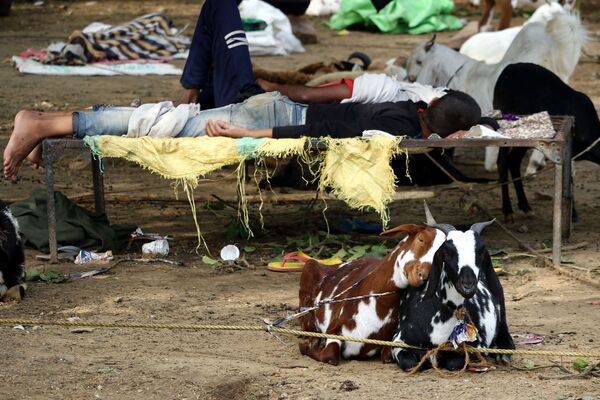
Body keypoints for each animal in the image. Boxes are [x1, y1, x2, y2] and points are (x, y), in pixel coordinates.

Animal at [296, 225, 446, 366]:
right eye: (421, 239)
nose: (424, 275)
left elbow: (387, 356)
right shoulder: (333, 330)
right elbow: (328, 356)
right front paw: (308, 343)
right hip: (308, 271)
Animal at [392, 211, 512, 370]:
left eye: (481, 251)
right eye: (447, 252)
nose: (468, 284)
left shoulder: (477, 345)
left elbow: (453, 363)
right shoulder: (398, 341)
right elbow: (411, 363)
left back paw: (503, 354)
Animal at [492, 61, 600, 222]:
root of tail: (507, 70)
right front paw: (572, 214)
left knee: (513, 161)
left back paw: (526, 207)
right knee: (502, 162)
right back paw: (508, 211)